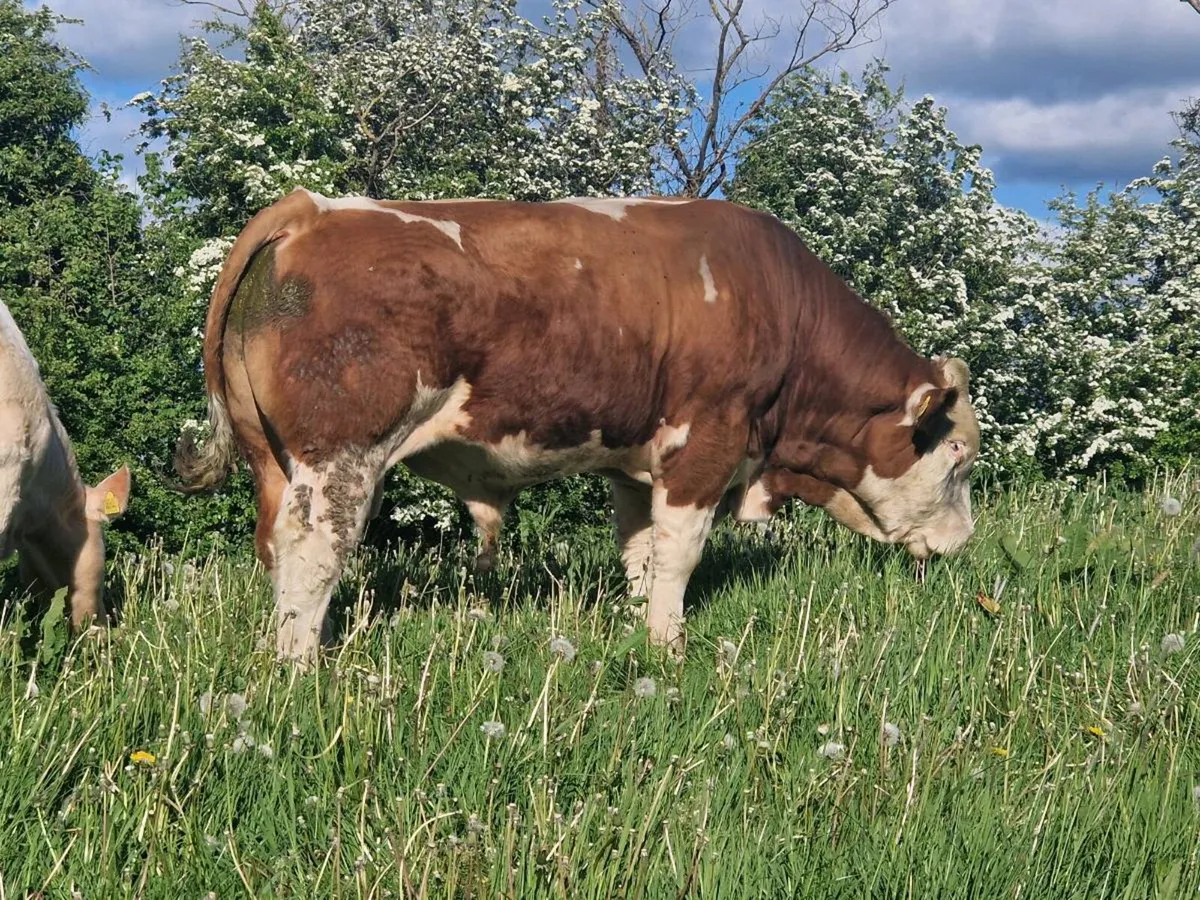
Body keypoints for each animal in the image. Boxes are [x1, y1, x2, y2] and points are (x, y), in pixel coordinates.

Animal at [174, 188, 980, 665]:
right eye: (961, 458)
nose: (965, 541)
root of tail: (314, 207)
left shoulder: (635, 465)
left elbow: (641, 555)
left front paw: (643, 631)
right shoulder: (705, 443)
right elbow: (679, 555)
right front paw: (672, 648)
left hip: (275, 461)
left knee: (275, 548)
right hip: (341, 454)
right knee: (314, 551)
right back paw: (302, 667)